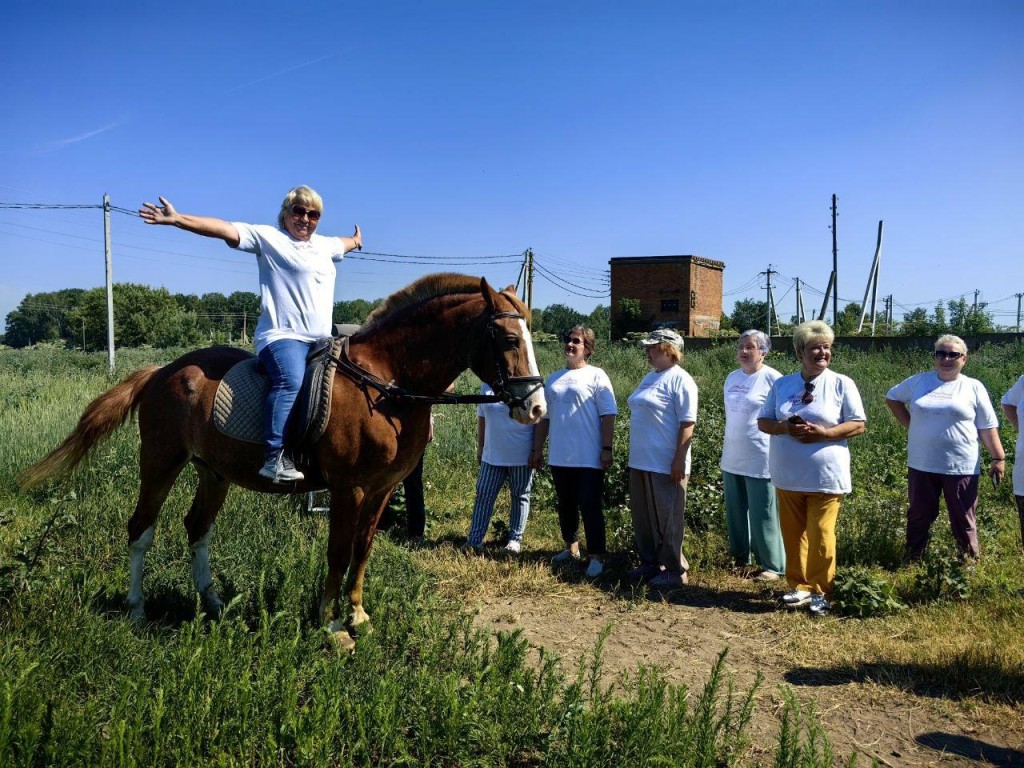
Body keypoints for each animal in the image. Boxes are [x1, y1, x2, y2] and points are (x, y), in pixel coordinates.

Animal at [19, 274, 548, 651]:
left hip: (213, 473)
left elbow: (363, 552)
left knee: (197, 527)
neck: (385, 383)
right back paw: (135, 609)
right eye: (506, 338)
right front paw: (331, 627)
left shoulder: (379, 492)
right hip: (160, 463)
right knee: (141, 529)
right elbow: (338, 553)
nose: (536, 408)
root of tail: (159, 372)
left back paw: (213, 602)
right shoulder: (349, 490)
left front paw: (358, 616)